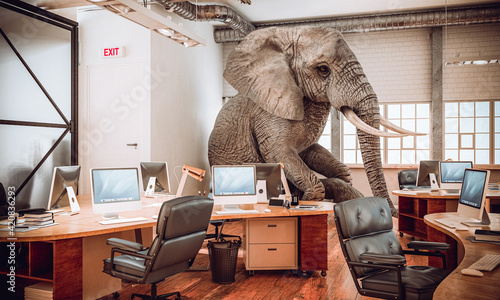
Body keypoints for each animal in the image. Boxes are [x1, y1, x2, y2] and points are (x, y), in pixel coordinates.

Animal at [207, 25, 422, 216]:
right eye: (323, 69)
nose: (394, 213)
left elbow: (312, 153)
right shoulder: (266, 113)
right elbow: (278, 152)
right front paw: (305, 197)